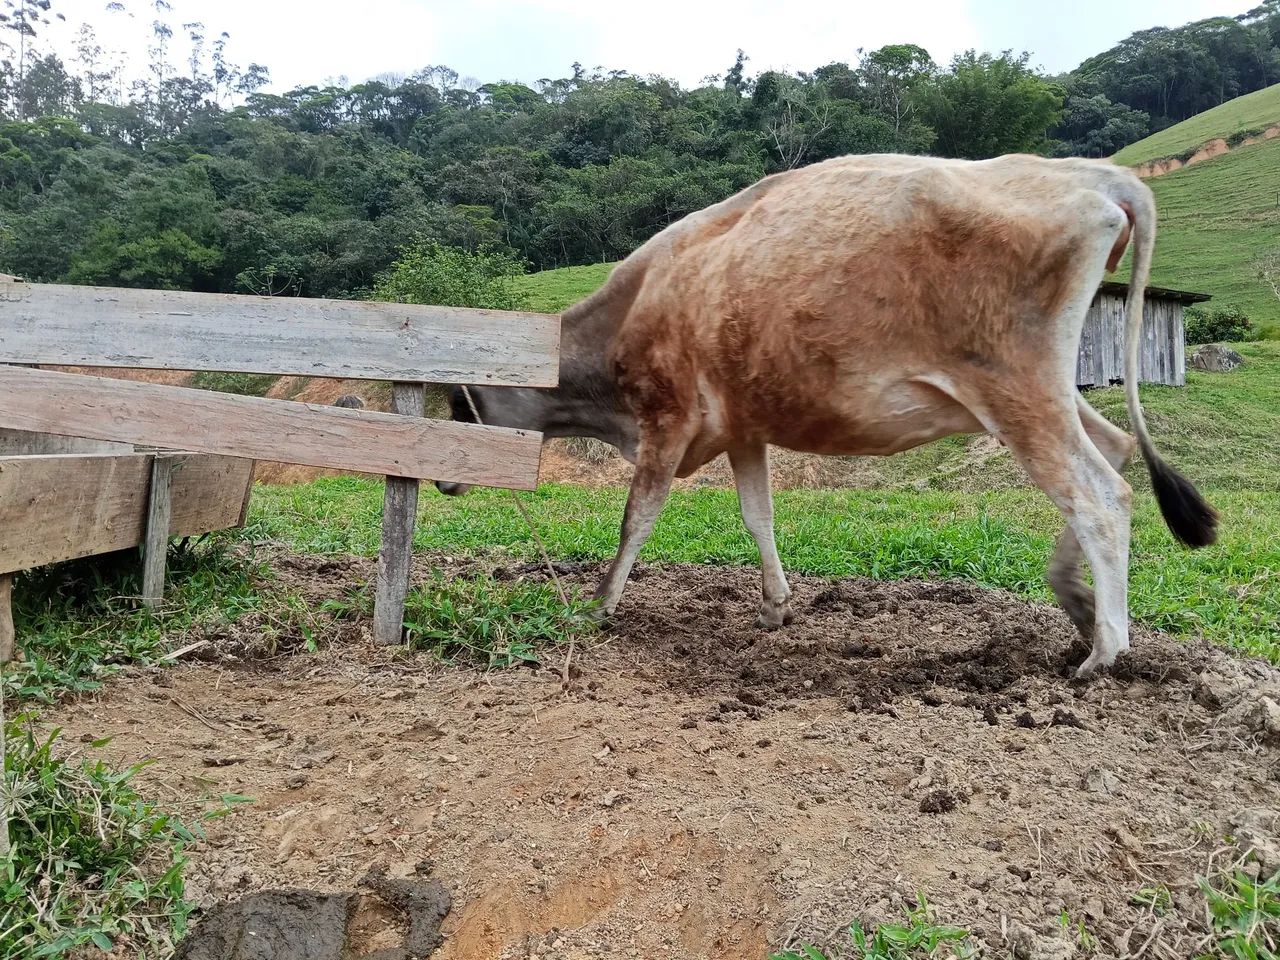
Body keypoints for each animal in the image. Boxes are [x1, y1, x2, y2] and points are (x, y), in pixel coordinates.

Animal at [436, 153, 1218, 677]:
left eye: (456, 404)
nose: (442, 479)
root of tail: (1094, 175)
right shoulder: (742, 427)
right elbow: (757, 515)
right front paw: (776, 605)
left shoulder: (667, 418)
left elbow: (638, 517)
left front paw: (600, 605)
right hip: (1042, 389)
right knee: (1114, 446)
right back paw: (1078, 605)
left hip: (1014, 389)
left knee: (1099, 495)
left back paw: (1105, 652)